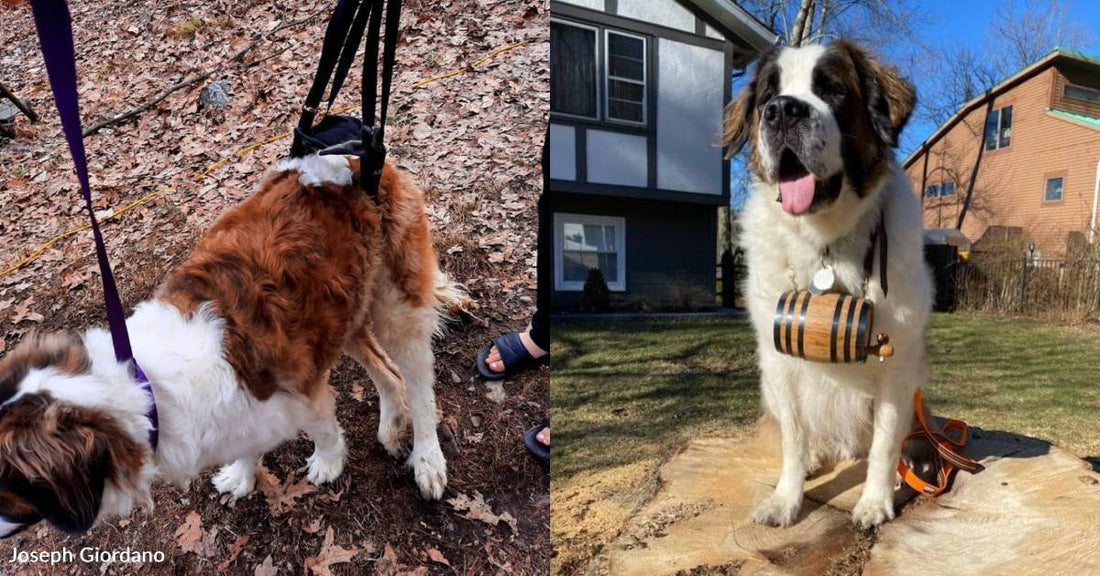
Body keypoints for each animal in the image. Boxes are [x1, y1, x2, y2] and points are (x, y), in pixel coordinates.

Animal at [0, 153, 459, 536]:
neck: (145, 386)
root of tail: (356, 157)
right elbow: (247, 440)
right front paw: (242, 474)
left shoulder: (302, 388)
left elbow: (323, 427)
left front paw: (328, 462)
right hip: (342, 316)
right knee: (388, 372)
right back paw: (391, 423)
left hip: (396, 307)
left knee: (419, 386)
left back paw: (427, 458)